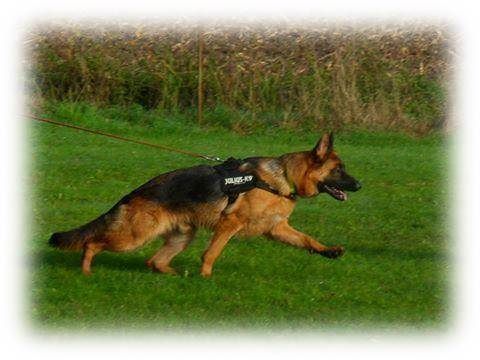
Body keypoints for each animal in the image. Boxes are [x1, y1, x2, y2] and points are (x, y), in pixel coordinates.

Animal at [50, 134, 362, 278]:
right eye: (338, 170)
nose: (359, 185)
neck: (282, 177)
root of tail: (134, 193)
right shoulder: (229, 224)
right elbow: (211, 253)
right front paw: (206, 278)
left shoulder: (276, 229)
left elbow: (307, 239)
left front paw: (329, 251)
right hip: (133, 237)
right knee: (92, 243)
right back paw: (86, 270)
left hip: (182, 236)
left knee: (154, 261)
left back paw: (175, 276)